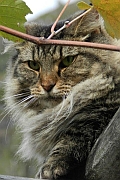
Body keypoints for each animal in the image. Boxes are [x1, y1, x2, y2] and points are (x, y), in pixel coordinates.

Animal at [4, 8, 120, 180]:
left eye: (67, 61)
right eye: (33, 65)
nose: (47, 85)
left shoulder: (105, 110)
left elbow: (75, 133)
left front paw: (50, 167)